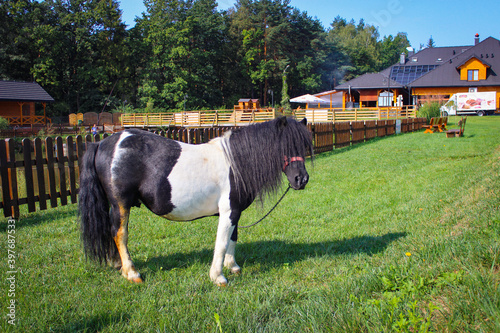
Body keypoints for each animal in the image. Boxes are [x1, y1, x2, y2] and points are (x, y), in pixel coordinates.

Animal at [79, 115, 312, 284]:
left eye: (303, 146)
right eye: (284, 146)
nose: (301, 180)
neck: (236, 163)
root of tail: (102, 143)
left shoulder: (235, 211)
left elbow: (233, 238)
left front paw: (233, 267)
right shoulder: (228, 212)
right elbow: (221, 242)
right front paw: (218, 277)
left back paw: (117, 265)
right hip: (121, 204)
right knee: (119, 234)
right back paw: (132, 272)